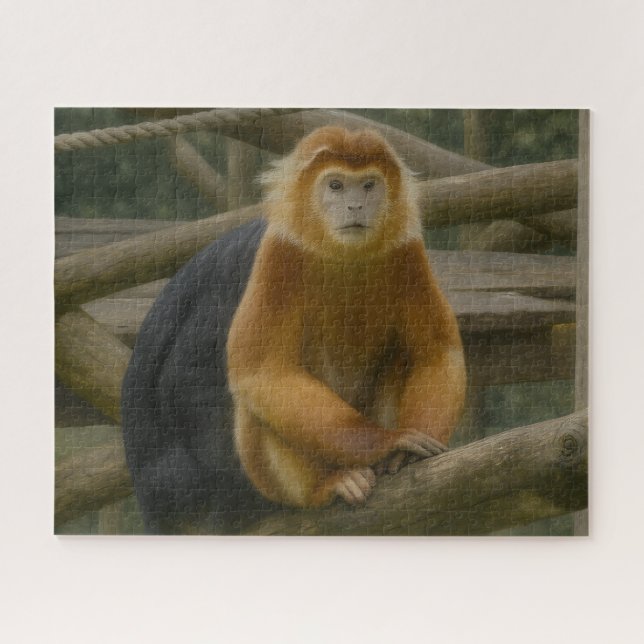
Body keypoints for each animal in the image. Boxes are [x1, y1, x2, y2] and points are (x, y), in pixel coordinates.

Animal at [226, 126, 466, 508]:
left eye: (368, 185)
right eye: (336, 186)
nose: (355, 205)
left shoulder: (407, 253)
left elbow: (437, 353)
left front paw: (404, 452)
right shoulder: (280, 255)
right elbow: (262, 372)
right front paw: (389, 441)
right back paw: (332, 483)